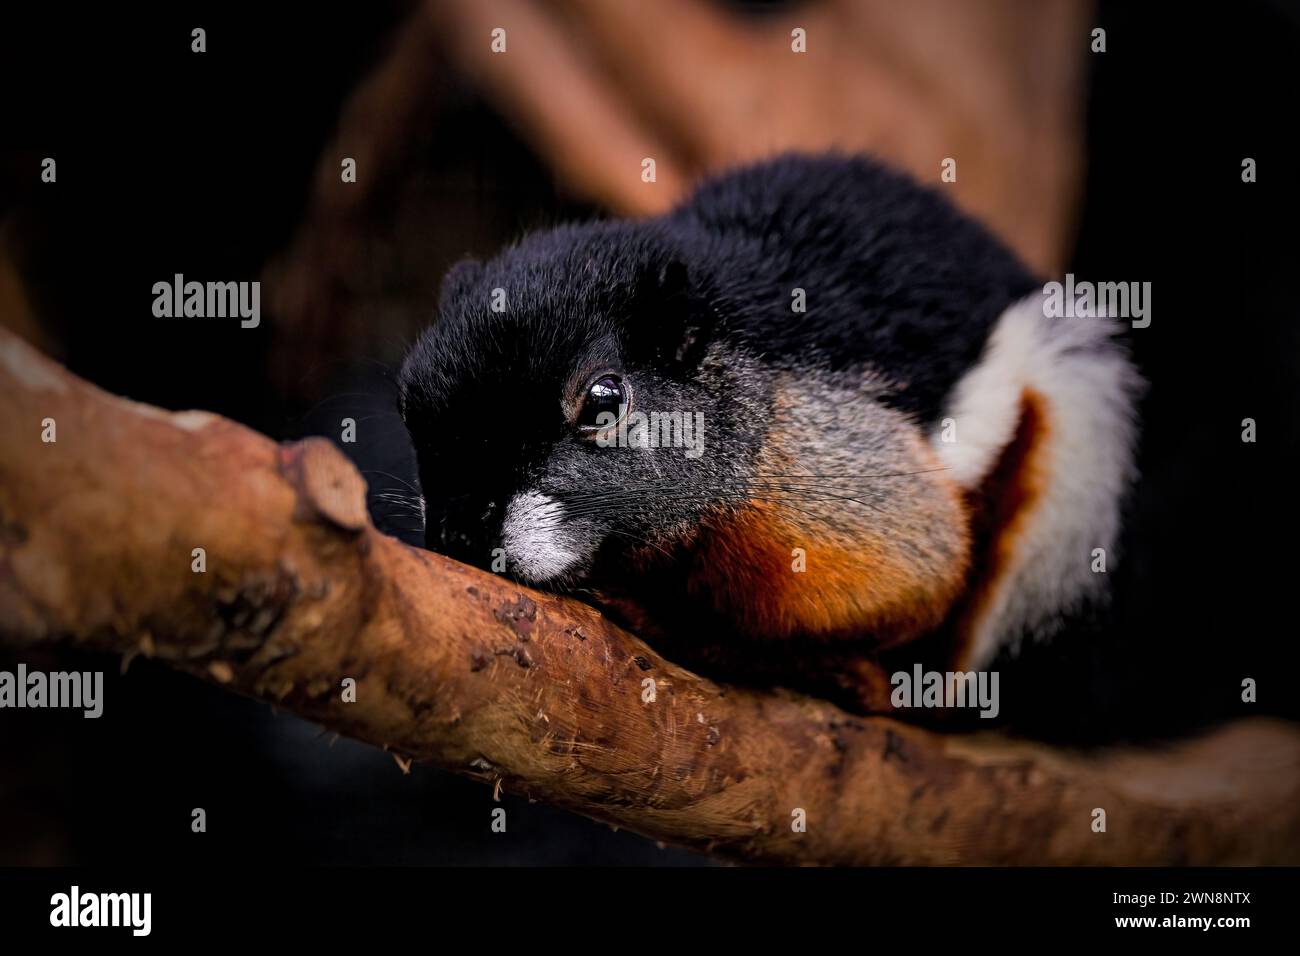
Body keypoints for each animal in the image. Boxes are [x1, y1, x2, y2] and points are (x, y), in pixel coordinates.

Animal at [397, 154, 1143, 717]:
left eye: (605, 400)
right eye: (410, 402)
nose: (459, 531)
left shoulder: (852, 499)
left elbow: (921, 575)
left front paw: (682, 626)